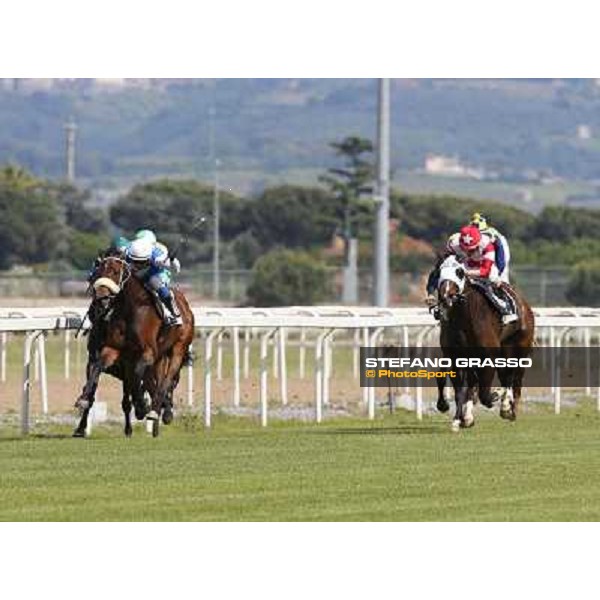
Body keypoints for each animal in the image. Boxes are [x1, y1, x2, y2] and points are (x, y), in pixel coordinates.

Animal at [73, 253, 193, 436]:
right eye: (97, 272)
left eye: (115, 272)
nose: (101, 299)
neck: (130, 309)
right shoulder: (112, 350)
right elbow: (97, 368)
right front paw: (83, 402)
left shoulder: (146, 354)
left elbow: (136, 377)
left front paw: (142, 407)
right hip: (159, 358)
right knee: (155, 383)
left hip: (178, 350)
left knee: (166, 382)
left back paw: (159, 412)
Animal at [436, 255, 536, 428]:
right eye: (440, 270)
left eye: (460, 272)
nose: (446, 296)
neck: (464, 320)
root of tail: (525, 305)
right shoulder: (456, 357)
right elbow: (460, 390)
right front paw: (457, 419)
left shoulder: (488, 357)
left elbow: (485, 393)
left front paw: (497, 397)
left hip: (520, 348)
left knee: (514, 379)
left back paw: (510, 409)